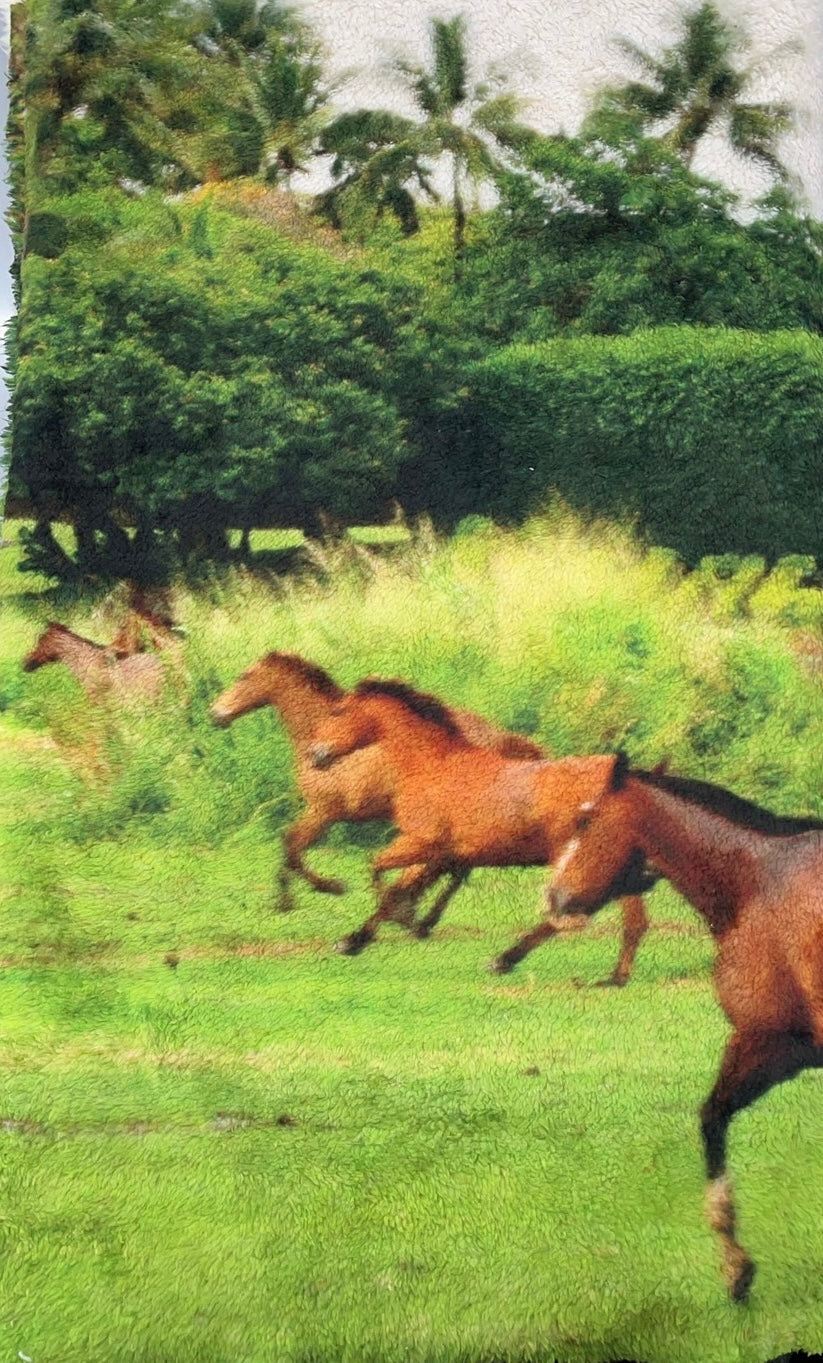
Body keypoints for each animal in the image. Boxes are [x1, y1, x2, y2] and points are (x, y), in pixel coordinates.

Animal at [209, 652, 551, 925]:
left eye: (244, 676)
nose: (215, 714)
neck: (318, 735)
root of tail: (507, 741)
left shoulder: (326, 810)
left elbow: (292, 846)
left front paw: (327, 888)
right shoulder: (323, 812)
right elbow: (289, 844)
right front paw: (288, 899)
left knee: (446, 865)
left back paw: (409, 911)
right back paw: (414, 912)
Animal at [307, 679, 652, 979]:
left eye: (338, 711)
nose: (314, 754)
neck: (432, 766)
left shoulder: (422, 842)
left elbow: (380, 873)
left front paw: (400, 920)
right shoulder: (441, 853)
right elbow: (402, 881)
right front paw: (360, 937)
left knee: (606, 918)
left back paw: (510, 961)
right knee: (626, 918)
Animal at [542, 751, 823, 1302]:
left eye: (586, 821)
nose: (554, 897)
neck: (760, 882)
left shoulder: (765, 1042)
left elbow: (711, 1119)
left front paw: (735, 1264)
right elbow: (713, 1117)